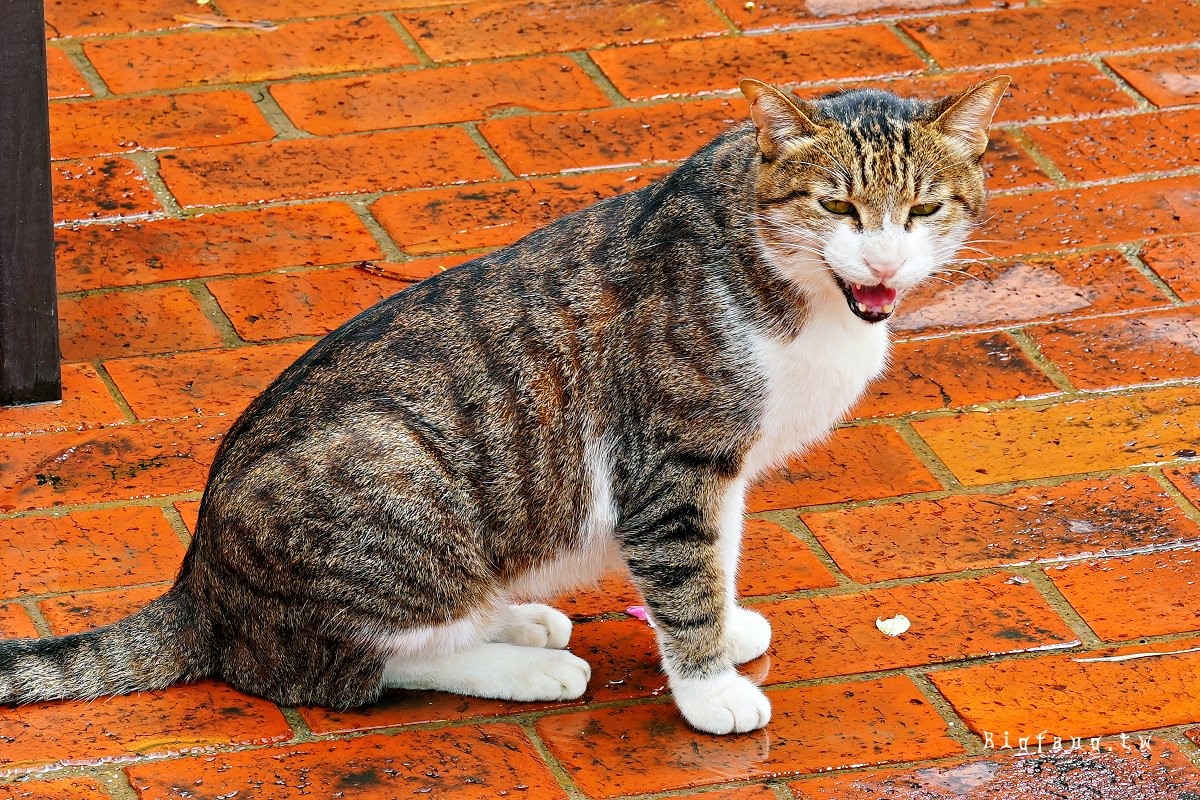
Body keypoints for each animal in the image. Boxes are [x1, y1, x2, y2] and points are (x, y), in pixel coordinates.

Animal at [0, 76, 1008, 738]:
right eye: (837, 206)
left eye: (922, 212)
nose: (881, 262)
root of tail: (197, 583)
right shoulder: (673, 459)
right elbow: (686, 573)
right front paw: (711, 685)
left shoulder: (720, 468)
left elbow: (717, 557)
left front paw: (726, 626)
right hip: (397, 478)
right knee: (350, 663)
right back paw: (529, 663)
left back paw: (519, 619)